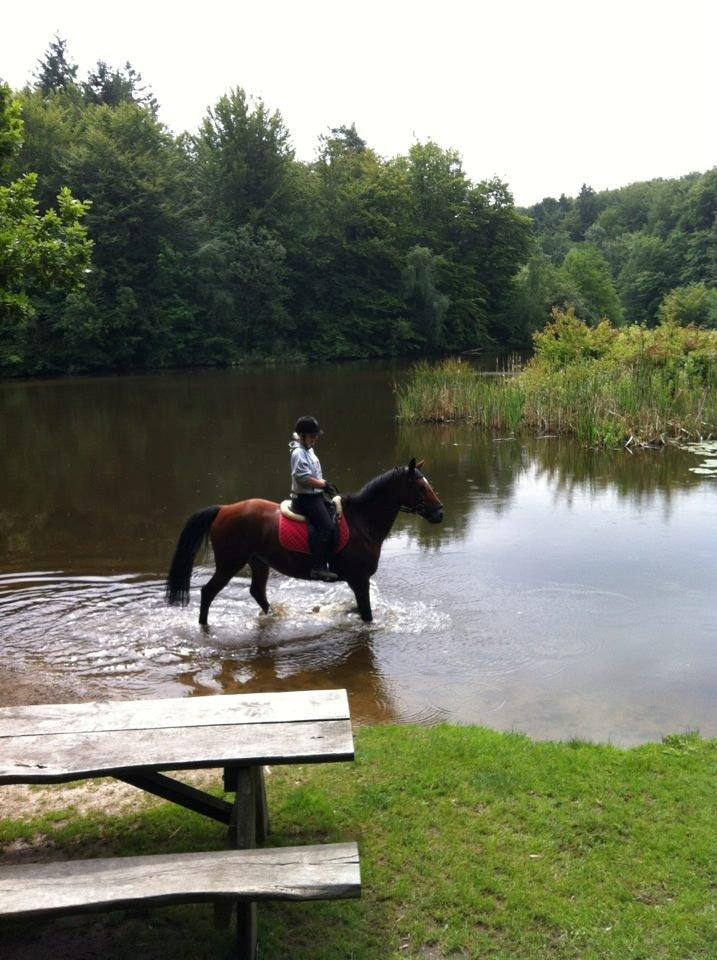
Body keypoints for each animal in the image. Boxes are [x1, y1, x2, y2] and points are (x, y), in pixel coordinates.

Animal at [166, 460, 442, 628]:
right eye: (419, 486)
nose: (439, 513)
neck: (361, 522)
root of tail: (223, 509)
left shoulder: (356, 581)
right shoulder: (360, 579)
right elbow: (367, 615)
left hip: (259, 562)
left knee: (257, 592)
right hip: (229, 563)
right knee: (208, 592)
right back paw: (204, 626)